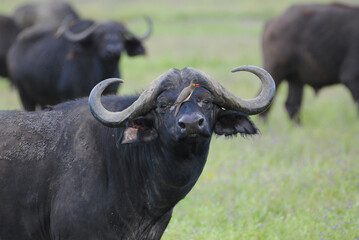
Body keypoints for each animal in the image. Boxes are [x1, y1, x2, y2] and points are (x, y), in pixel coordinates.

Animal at [7, 16, 152, 110]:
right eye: (100, 35)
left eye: (121, 35)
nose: (114, 50)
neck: (102, 72)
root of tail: (15, 47)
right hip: (24, 95)